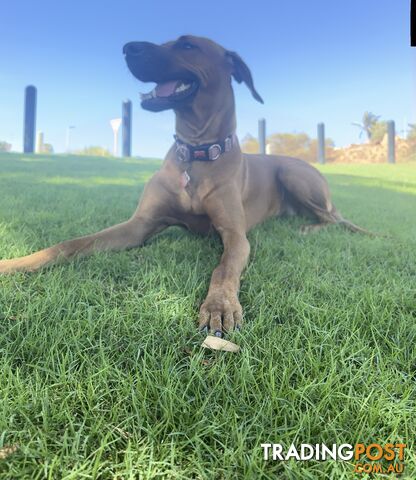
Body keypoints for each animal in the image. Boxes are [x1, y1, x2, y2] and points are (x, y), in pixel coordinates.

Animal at [0, 34, 366, 334]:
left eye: (188, 45)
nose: (127, 47)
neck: (196, 152)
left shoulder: (236, 236)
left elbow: (223, 268)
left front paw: (220, 306)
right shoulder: (139, 225)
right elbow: (70, 244)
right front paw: (14, 263)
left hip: (295, 176)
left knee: (334, 218)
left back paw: (309, 228)